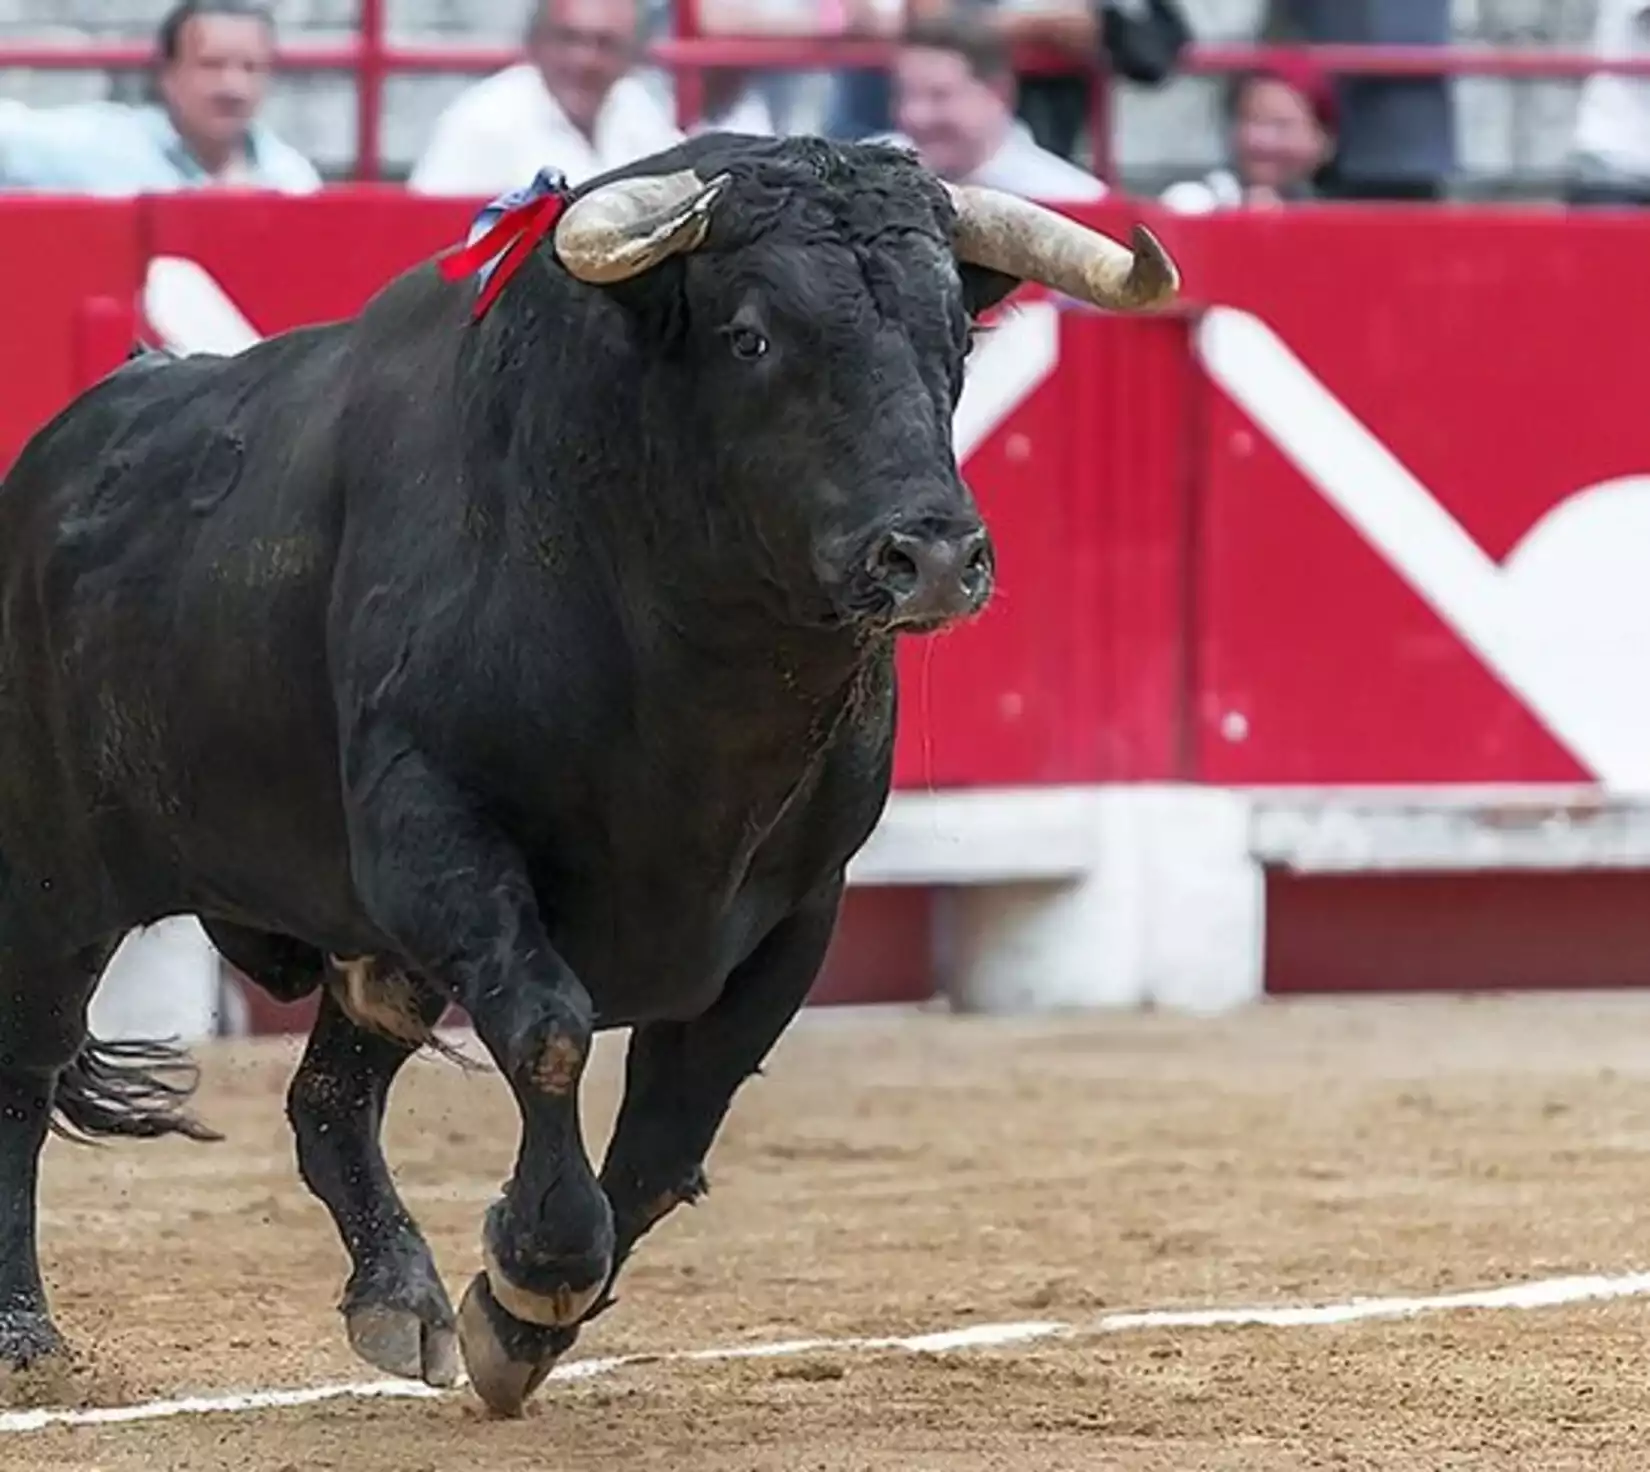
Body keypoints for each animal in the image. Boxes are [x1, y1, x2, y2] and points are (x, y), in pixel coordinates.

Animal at [0, 137, 1174, 1412]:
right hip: (53, 891)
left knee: (329, 1097)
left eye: (956, 335)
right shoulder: (437, 836)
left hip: (370, 945)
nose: (936, 554)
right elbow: (553, 1032)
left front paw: (518, 1316)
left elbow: (671, 1132)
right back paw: (25, 1334)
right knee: (27, 1069)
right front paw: (540, 1273)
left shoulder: (799, 909)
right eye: (751, 335)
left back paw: (398, 1295)